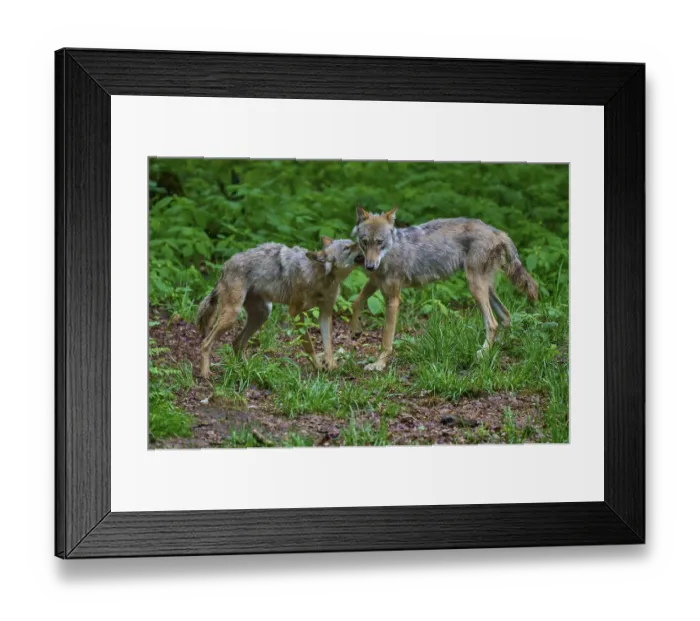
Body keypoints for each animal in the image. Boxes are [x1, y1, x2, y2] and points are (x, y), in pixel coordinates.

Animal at [196, 237, 362, 379]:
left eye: (350, 242)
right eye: (347, 248)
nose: (361, 241)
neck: (321, 278)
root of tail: (225, 265)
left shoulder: (325, 314)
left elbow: (328, 346)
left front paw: (331, 366)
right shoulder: (295, 312)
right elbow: (309, 345)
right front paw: (318, 367)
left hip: (262, 315)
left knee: (236, 343)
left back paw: (248, 369)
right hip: (232, 316)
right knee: (205, 343)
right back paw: (205, 373)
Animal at [351, 206, 538, 371]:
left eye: (379, 242)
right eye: (364, 242)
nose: (369, 266)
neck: (389, 253)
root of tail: (497, 231)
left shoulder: (393, 299)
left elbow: (386, 340)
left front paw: (378, 364)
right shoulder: (374, 282)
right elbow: (356, 301)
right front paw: (356, 331)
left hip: (475, 287)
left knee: (492, 323)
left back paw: (482, 354)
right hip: (484, 288)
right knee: (505, 316)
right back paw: (496, 348)